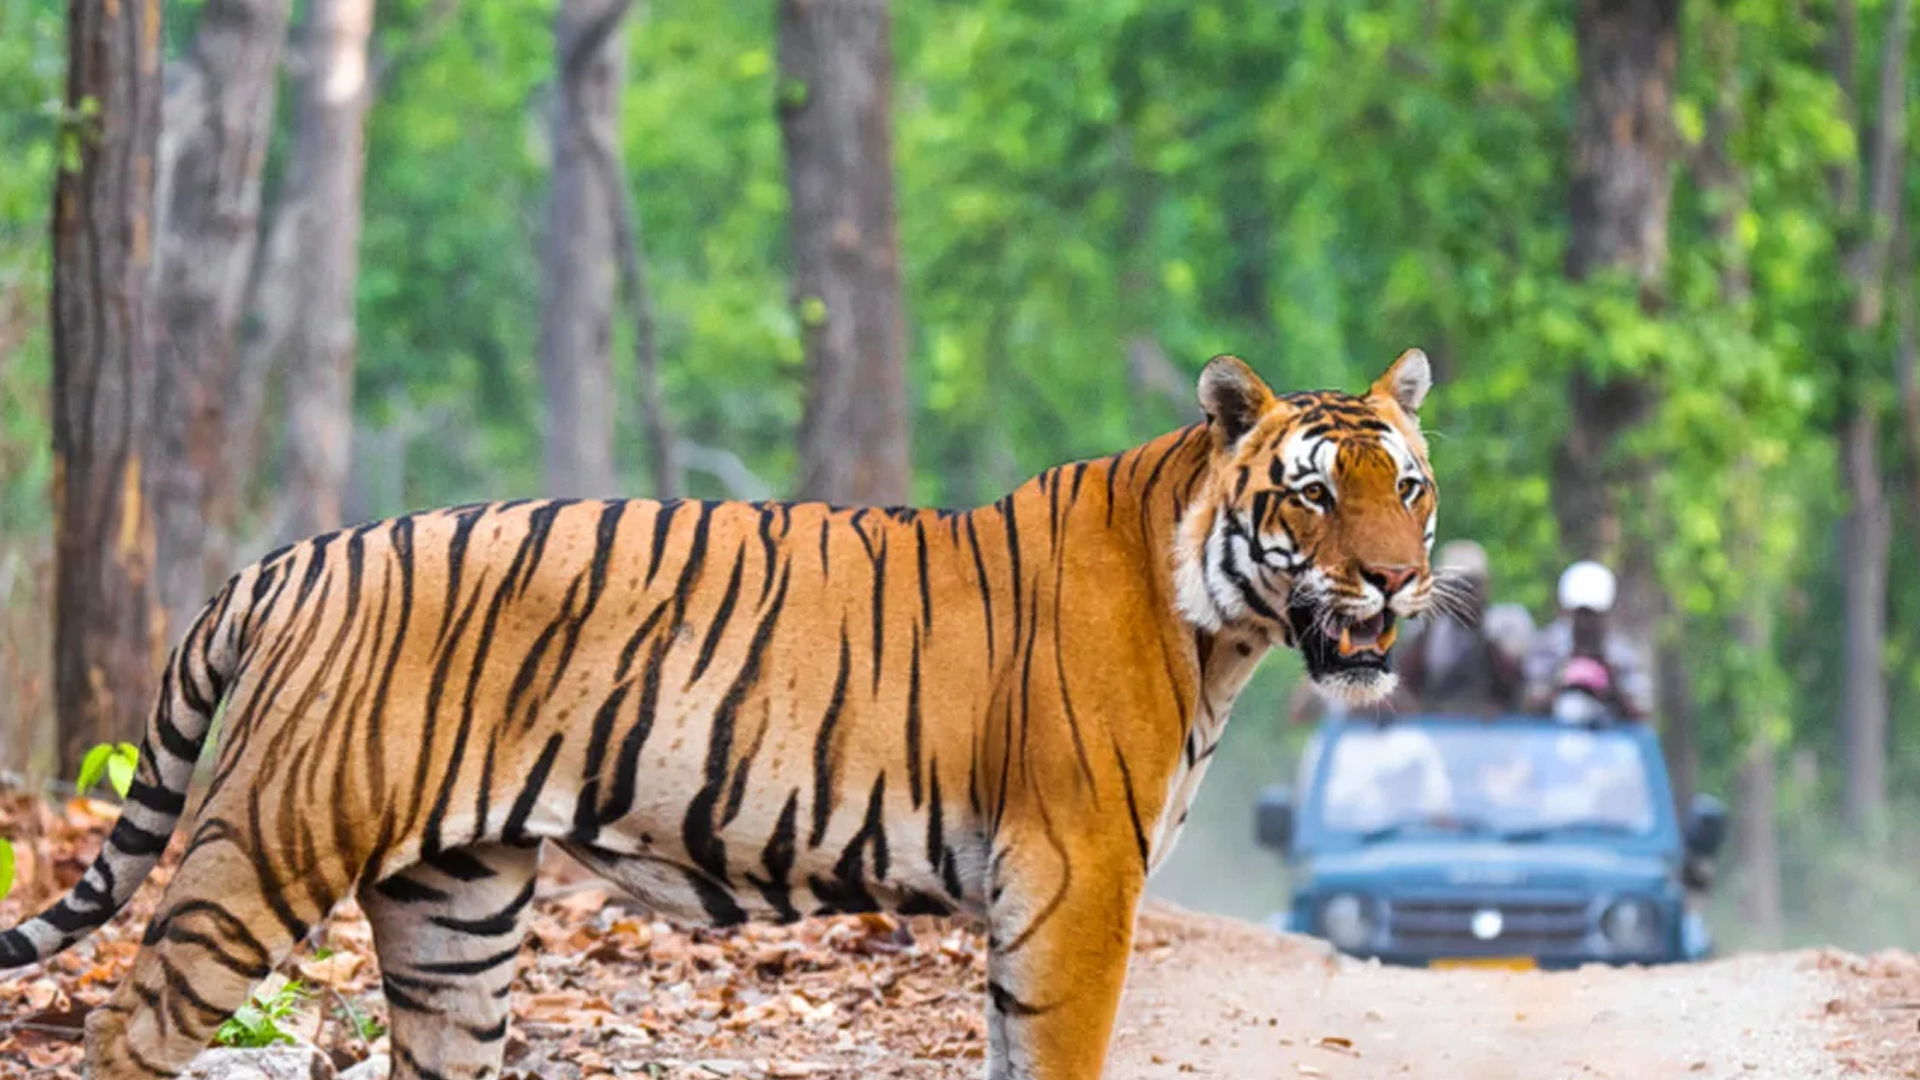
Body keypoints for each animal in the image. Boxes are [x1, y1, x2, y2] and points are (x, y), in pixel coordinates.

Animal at [3, 349, 1443, 1068]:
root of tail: (290, 558)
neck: (1219, 625)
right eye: (1315, 494)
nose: (1396, 578)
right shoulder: (1077, 877)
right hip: (265, 843)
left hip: (454, 913)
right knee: (127, 1033)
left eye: (1409, 488)